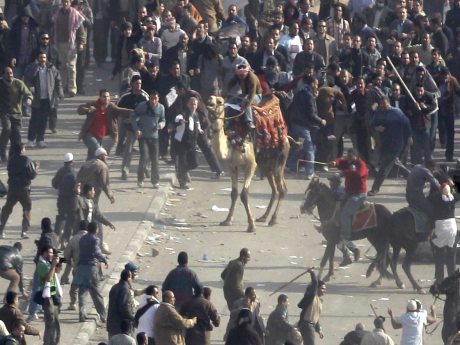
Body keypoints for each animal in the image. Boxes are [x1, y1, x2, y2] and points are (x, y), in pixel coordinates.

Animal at [207, 95, 290, 232]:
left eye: (220, 101)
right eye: (210, 98)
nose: (210, 102)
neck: (232, 142)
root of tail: (287, 138)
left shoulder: (251, 164)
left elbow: (244, 195)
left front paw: (251, 225)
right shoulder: (232, 166)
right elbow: (233, 193)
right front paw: (227, 220)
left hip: (279, 161)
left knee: (282, 189)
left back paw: (273, 220)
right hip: (267, 165)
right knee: (275, 189)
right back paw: (263, 217)